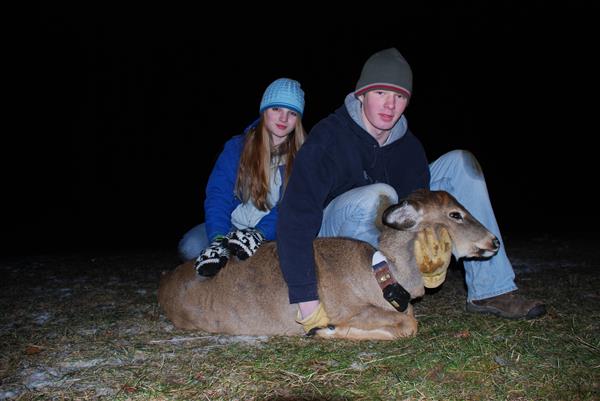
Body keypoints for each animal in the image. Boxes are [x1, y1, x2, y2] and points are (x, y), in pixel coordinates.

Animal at [157, 189, 500, 340]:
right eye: (455, 214)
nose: (494, 241)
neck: (380, 275)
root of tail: (164, 284)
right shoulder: (344, 306)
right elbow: (408, 324)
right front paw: (327, 330)